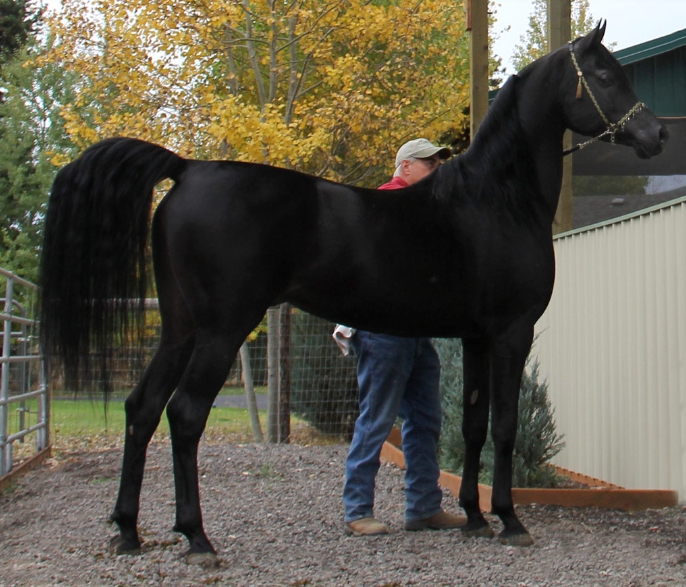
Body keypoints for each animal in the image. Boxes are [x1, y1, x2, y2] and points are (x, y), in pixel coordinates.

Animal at [37, 23, 668, 564]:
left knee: (141, 408)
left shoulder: (476, 338)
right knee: (185, 414)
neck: (495, 199)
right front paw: (510, 521)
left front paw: (472, 516)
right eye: (605, 75)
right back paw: (196, 538)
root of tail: (188, 168)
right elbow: (506, 425)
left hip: (179, 327)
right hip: (221, 329)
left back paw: (128, 530)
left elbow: (473, 424)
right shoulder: (513, 333)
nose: (658, 134)